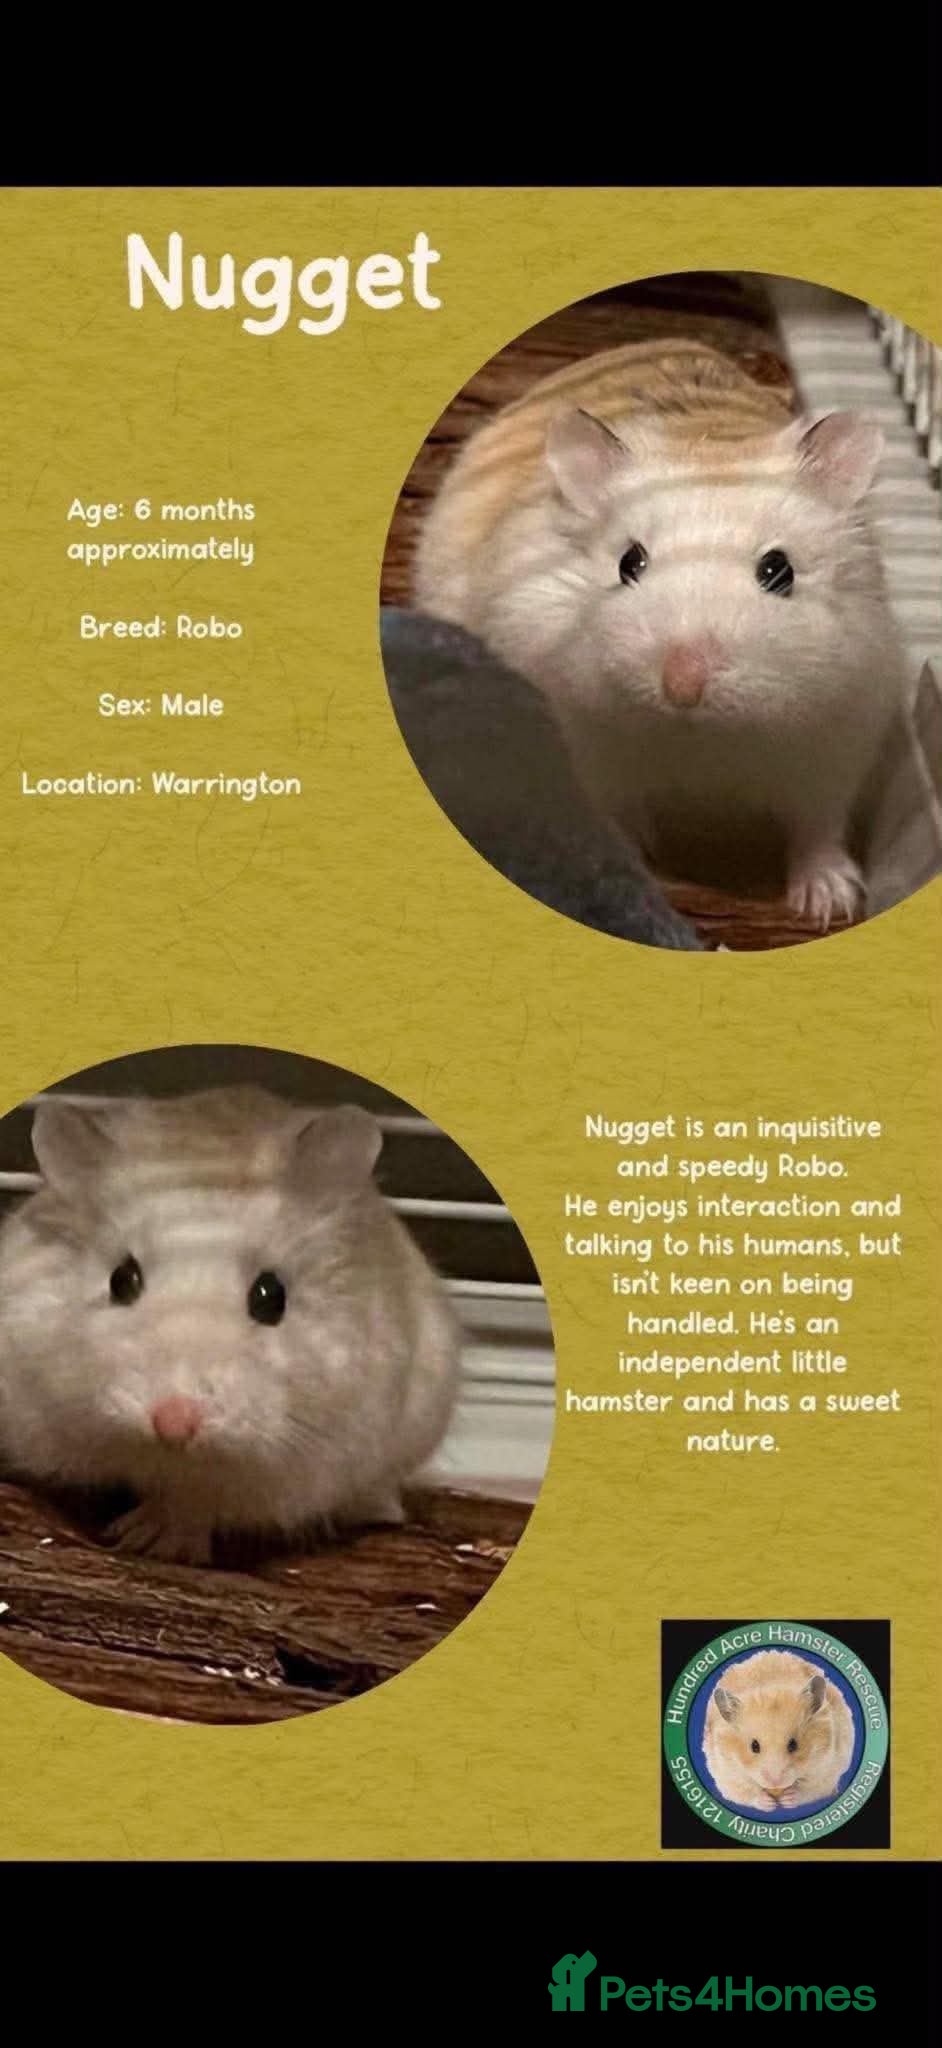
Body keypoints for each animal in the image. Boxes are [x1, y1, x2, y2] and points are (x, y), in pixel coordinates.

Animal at [0, 1086, 460, 1565]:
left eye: (271, 1297)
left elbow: (197, 1500)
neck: (167, 1454)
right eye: (120, 1281)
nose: (174, 1423)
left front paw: (153, 1541)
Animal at [414, 338, 909, 930]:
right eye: (630, 562)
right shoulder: (589, 754)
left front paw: (829, 905)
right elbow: (612, 822)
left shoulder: (835, 744)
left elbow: (818, 827)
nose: (682, 686)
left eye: (780, 571)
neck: (698, 734)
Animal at [702, 1649, 855, 1811]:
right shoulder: (727, 1773)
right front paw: (769, 1804)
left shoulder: (827, 1768)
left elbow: (809, 1789)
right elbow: (746, 1792)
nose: (775, 1782)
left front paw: (787, 1799)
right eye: (754, 1746)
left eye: (793, 1745)